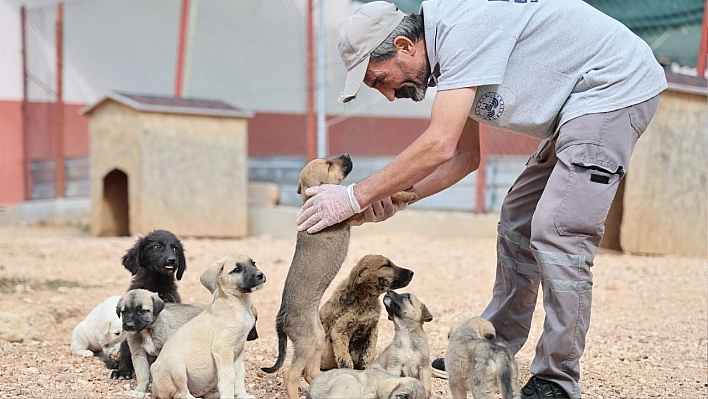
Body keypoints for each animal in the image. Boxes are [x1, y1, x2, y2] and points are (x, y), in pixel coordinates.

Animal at [262, 155, 418, 399]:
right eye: (328, 164)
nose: (347, 155)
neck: (311, 199)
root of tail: (280, 318)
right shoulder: (354, 213)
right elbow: (385, 195)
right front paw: (406, 193)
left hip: (317, 337)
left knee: (310, 372)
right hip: (306, 342)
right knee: (291, 375)